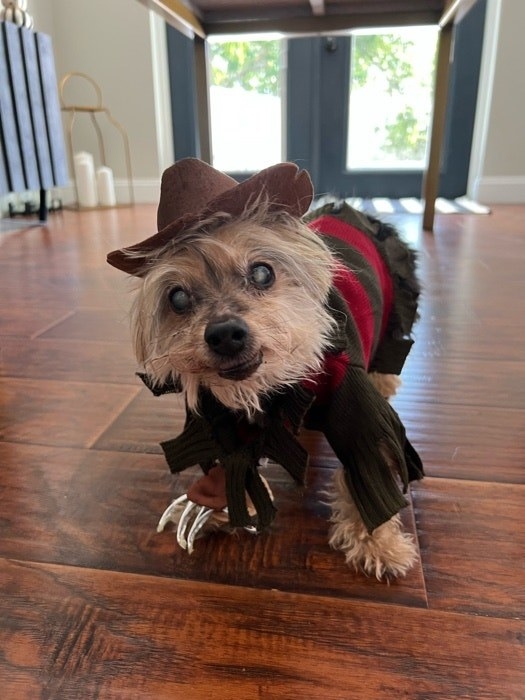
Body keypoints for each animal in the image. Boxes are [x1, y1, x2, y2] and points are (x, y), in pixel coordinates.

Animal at [106, 159, 422, 580]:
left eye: (262, 273)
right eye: (177, 298)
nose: (224, 334)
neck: (274, 383)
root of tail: (351, 209)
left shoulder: (358, 412)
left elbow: (370, 470)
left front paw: (378, 543)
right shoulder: (224, 418)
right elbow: (231, 463)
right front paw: (217, 504)